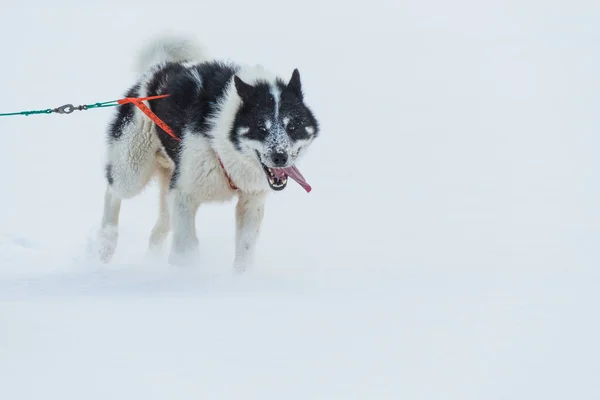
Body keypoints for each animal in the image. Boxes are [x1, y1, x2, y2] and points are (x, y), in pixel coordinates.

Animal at [98, 36, 322, 270]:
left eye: (293, 126)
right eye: (261, 128)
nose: (280, 157)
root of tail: (158, 69)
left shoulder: (251, 202)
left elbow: (244, 252)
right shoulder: (183, 195)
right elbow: (187, 249)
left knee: (158, 229)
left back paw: (151, 261)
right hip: (132, 171)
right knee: (113, 192)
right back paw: (105, 243)